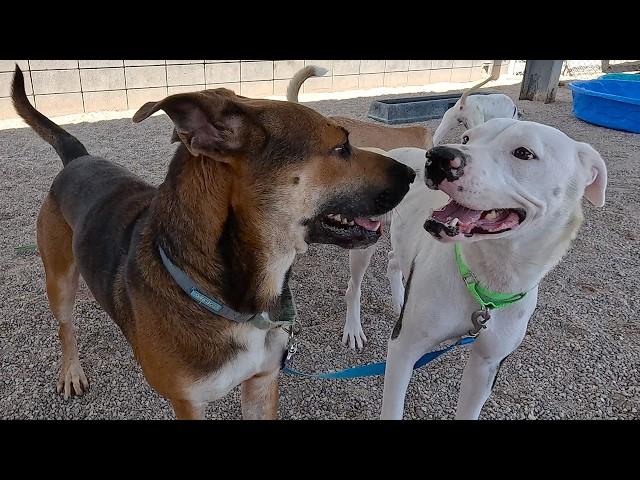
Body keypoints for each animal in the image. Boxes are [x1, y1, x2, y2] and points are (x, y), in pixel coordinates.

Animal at [350, 118, 604, 418]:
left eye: (524, 153)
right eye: (467, 138)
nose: (437, 157)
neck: (487, 278)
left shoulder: (485, 366)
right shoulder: (403, 349)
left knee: (393, 260)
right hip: (363, 240)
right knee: (353, 288)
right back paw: (353, 329)